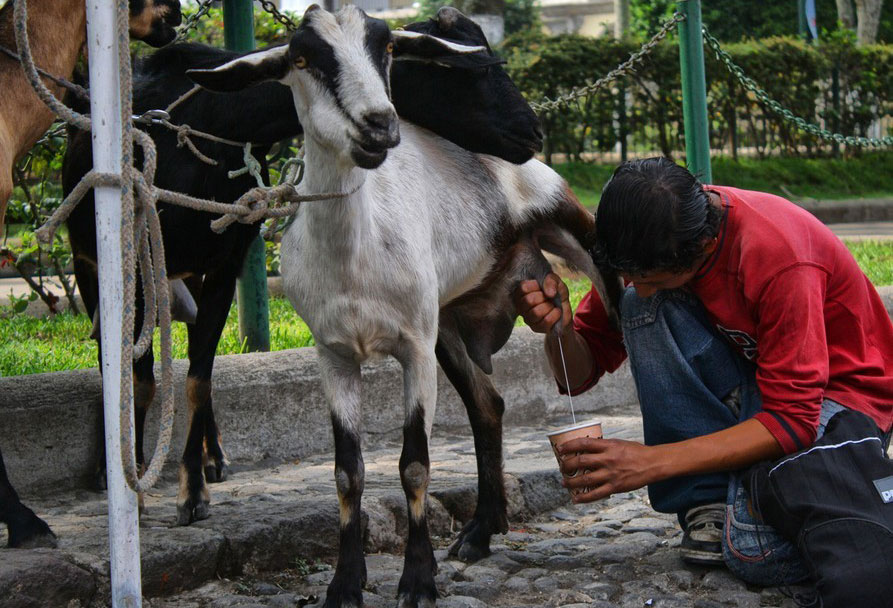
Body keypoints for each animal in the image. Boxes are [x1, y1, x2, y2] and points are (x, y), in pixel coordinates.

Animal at [188, 5, 620, 608]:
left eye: (388, 47)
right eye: (300, 58)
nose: (378, 125)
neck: (357, 252)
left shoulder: (414, 347)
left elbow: (415, 465)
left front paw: (417, 580)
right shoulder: (335, 354)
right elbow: (347, 472)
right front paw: (346, 583)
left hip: (572, 235)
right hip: (448, 321)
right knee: (488, 405)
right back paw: (480, 532)